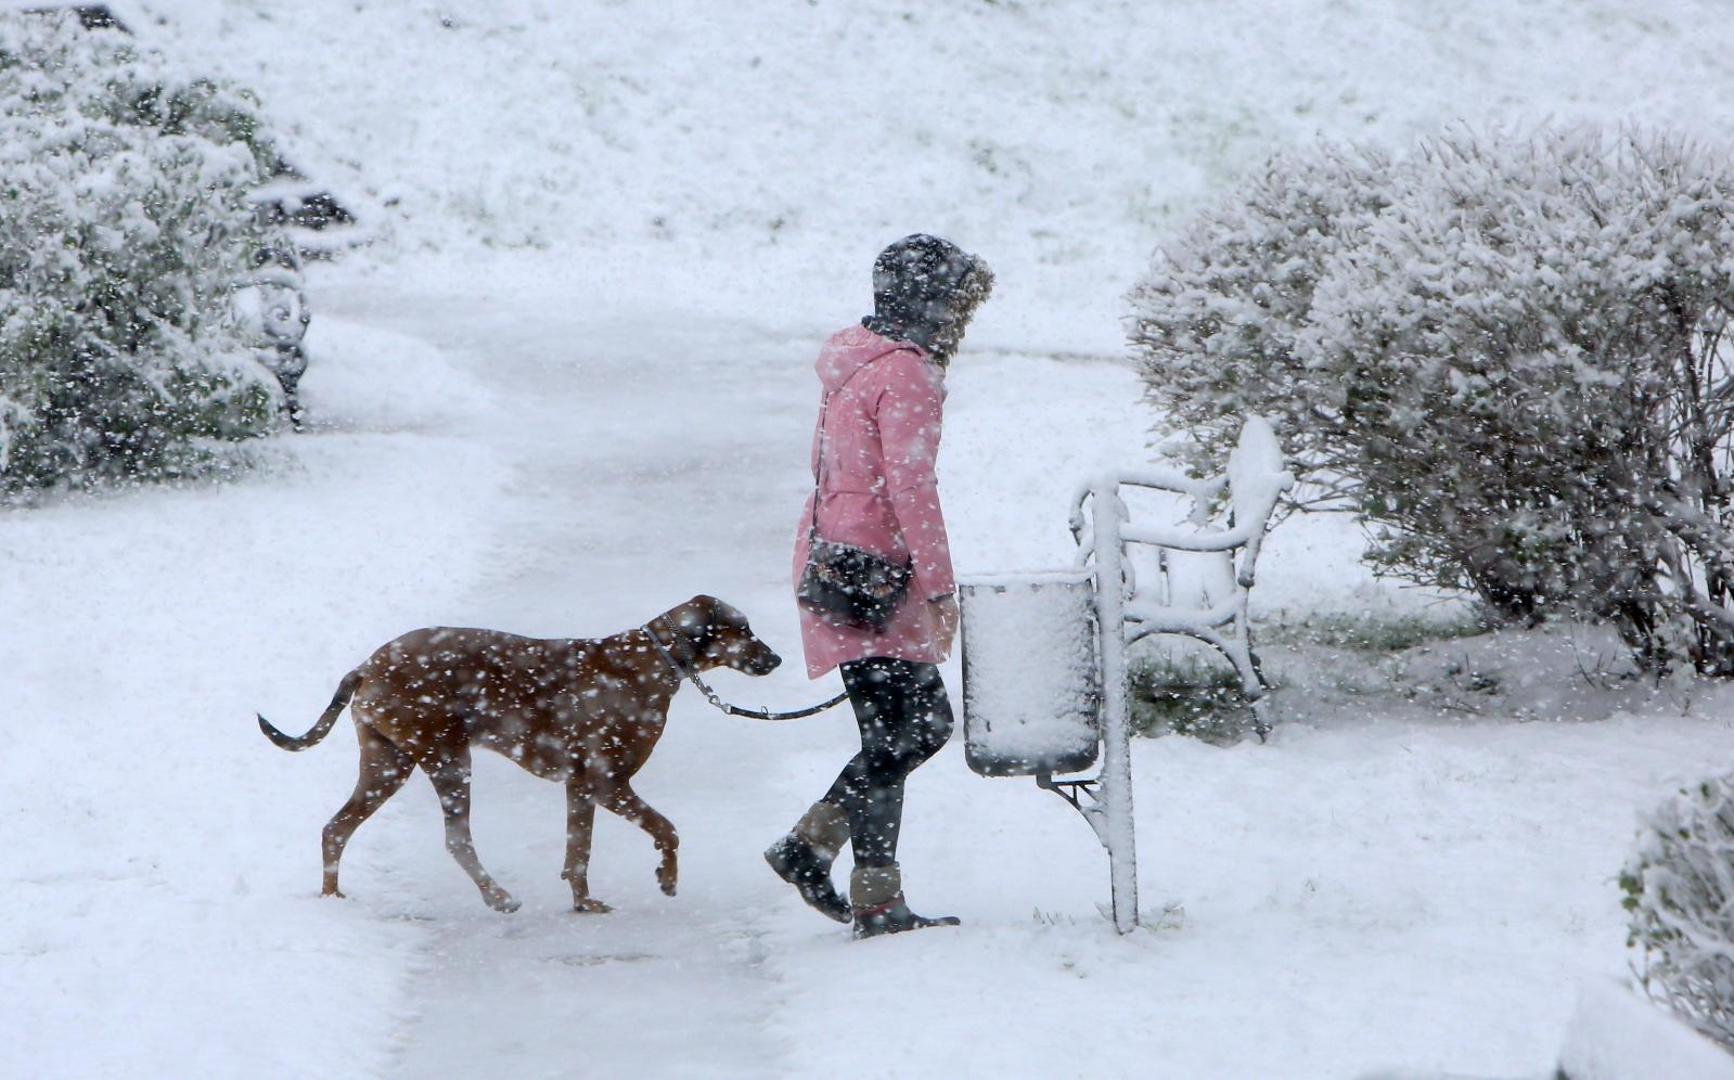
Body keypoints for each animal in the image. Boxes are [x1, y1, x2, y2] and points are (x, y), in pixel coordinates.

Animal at [260, 596, 783, 915]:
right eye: (743, 629)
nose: (776, 659)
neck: (655, 658)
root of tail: (366, 666)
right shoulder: (608, 783)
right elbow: (667, 830)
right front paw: (667, 877)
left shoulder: (581, 788)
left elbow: (578, 854)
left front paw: (583, 903)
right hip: (448, 759)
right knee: (456, 840)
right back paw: (498, 897)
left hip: (385, 764)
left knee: (335, 828)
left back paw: (332, 897)